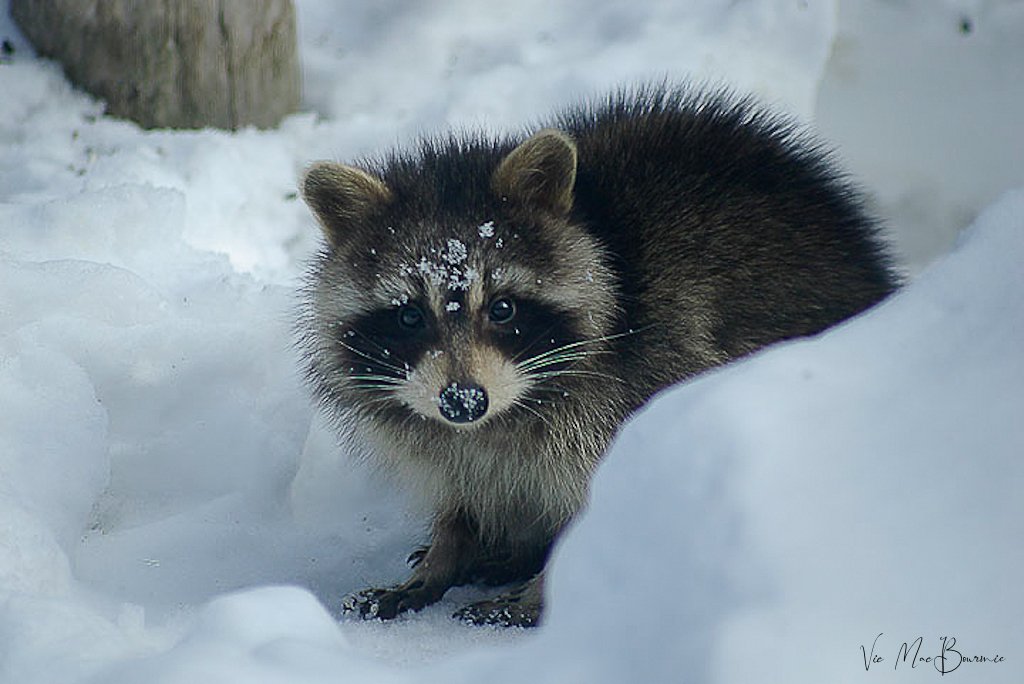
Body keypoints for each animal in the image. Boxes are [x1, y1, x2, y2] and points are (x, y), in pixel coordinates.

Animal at [298, 85, 896, 627]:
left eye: (503, 308)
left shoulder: (635, 388)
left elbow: (594, 505)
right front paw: (445, 555)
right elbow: (461, 494)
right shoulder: (451, 441)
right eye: (409, 317)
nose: (463, 401)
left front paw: (538, 592)